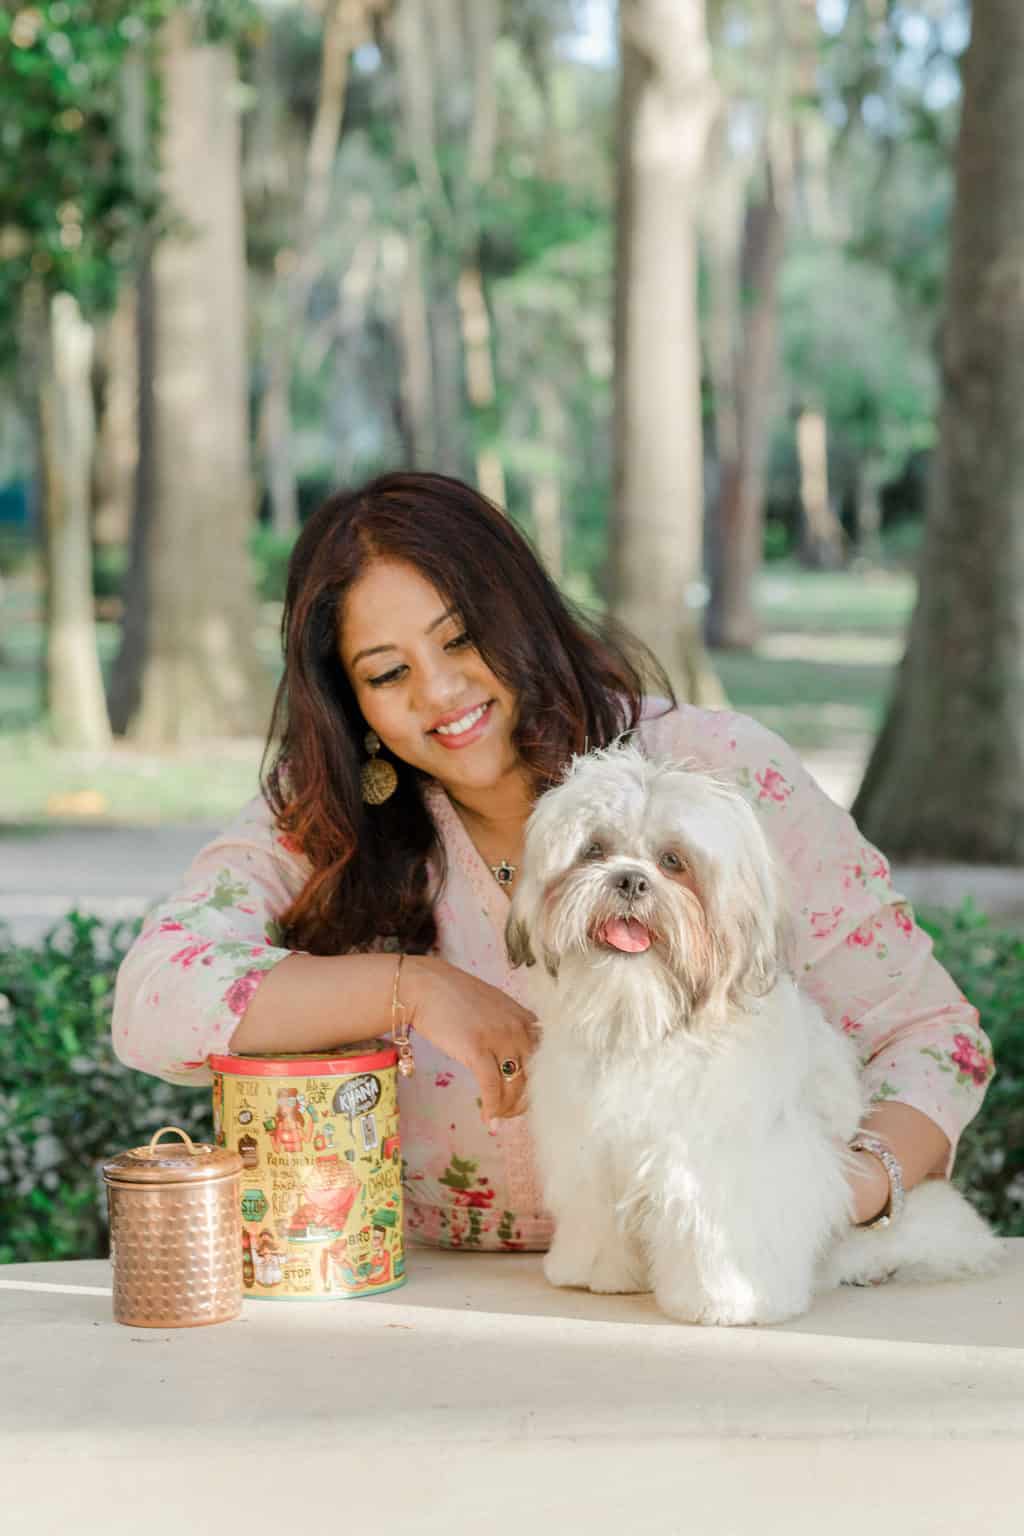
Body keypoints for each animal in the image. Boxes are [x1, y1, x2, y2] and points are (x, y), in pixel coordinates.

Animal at [509, 749, 1007, 1327]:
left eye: (673, 861)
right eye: (594, 850)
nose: (630, 880)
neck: (646, 1019)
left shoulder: (723, 1166)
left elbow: (722, 1231)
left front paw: (729, 1299)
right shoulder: (591, 1150)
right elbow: (598, 1215)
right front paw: (597, 1270)